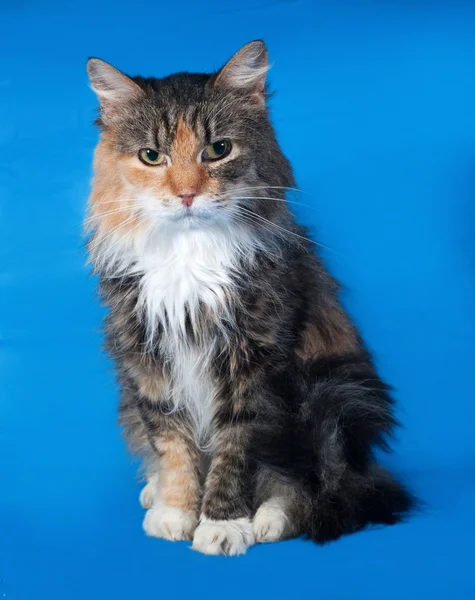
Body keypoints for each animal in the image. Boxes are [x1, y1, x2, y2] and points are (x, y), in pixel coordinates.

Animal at [87, 39, 414, 556]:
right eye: (152, 156)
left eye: (218, 150)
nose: (186, 195)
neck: (189, 257)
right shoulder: (147, 362)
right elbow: (172, 446)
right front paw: (175, 511)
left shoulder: (254, 364)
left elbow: (234, 454)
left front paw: (222, 525)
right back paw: (153, 490)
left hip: (330, 400)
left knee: (315, 485)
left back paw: (271, 520)